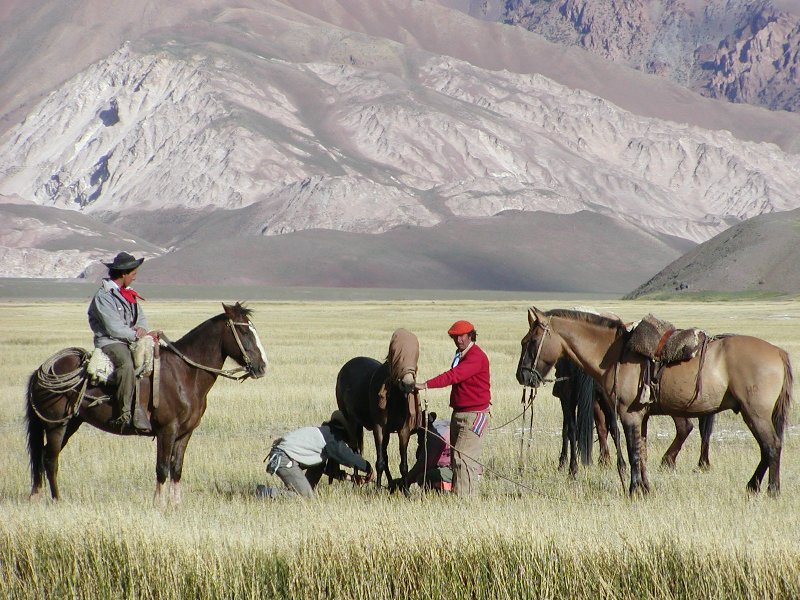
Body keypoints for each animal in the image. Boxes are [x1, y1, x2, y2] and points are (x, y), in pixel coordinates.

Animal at [24, 302, 268, 504]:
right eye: (244, 331)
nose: (262, 366)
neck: (185, 373)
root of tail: (41, 370)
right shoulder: (166, 430)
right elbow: (162, 468)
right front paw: (158, 505)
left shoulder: (185, 433)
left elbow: (176, 468)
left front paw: (176, 505)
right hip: (56, 425)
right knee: (50, 459)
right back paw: (57, 500)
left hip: (71, 423)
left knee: (44, 456)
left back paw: (37, 497)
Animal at [336, 328, 422, 492]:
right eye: (396, 353)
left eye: (415, 355)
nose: (408, 385)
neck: (395, 398)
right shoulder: (379, 428)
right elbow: (380, 461)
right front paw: (376, 491)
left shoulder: (404, 430)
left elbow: (403, 464)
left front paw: (406, 492)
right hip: (352, 422)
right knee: (355, 449)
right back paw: (357, 483)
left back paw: (390, 485)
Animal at [516, 308, 792, 494]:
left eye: (530, 341)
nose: (522, 375)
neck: (614, 354)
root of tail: (778, 352)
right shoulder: (643, 416)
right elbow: (643, 451)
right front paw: (646, 488)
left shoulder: (628, 414)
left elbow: (633, 452)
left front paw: (633, 489)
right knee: (768, 447)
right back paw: (754, 486)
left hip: (754, 413)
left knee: (771, 446)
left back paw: (770, 489)